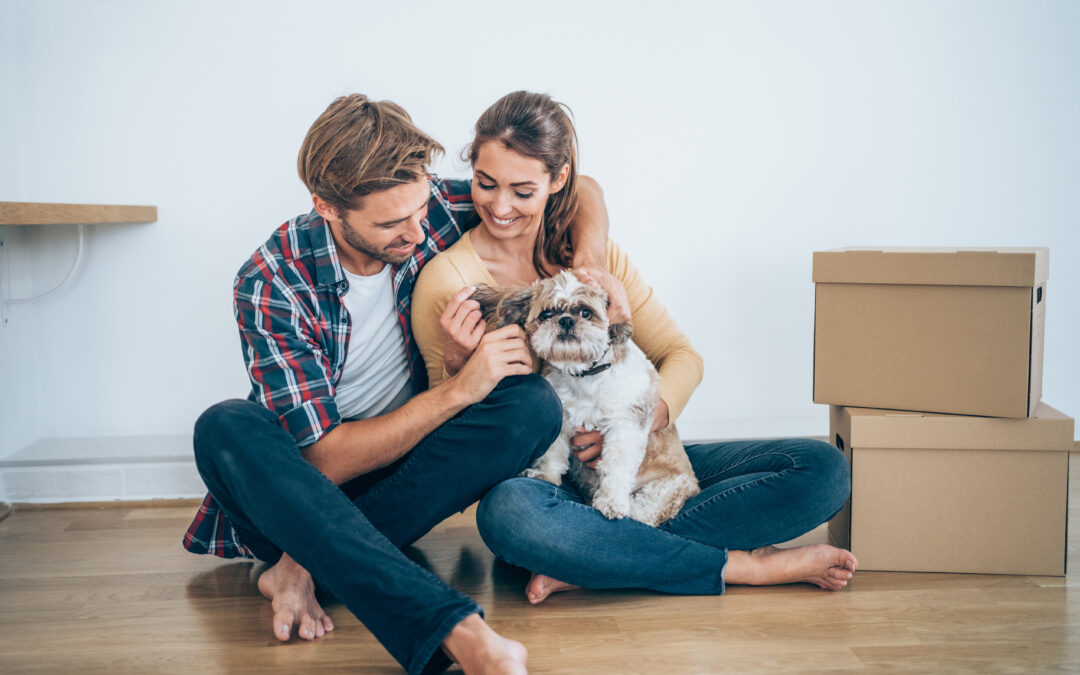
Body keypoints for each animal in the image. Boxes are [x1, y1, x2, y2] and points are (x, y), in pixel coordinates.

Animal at [475, 270, 699, 527]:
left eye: (585, 313)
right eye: (547, 314)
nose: (566, 320)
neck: (585, 375)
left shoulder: (626, 425)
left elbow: (616, 465)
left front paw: (612, 501)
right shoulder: (562, 419)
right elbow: (553, 453)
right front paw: (547, 475)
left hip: (666, 489)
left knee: (646, 514)